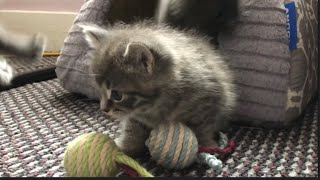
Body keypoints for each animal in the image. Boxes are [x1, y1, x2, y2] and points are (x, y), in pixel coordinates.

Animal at [80, 20, 235, 156]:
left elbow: (202, 126)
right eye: (99, 90)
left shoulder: (209, 99)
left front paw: (207, 145)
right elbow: (133, 126)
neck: (155, 106)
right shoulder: (136, 115)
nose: (103, 109)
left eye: (117, 94)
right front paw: (127, 146)